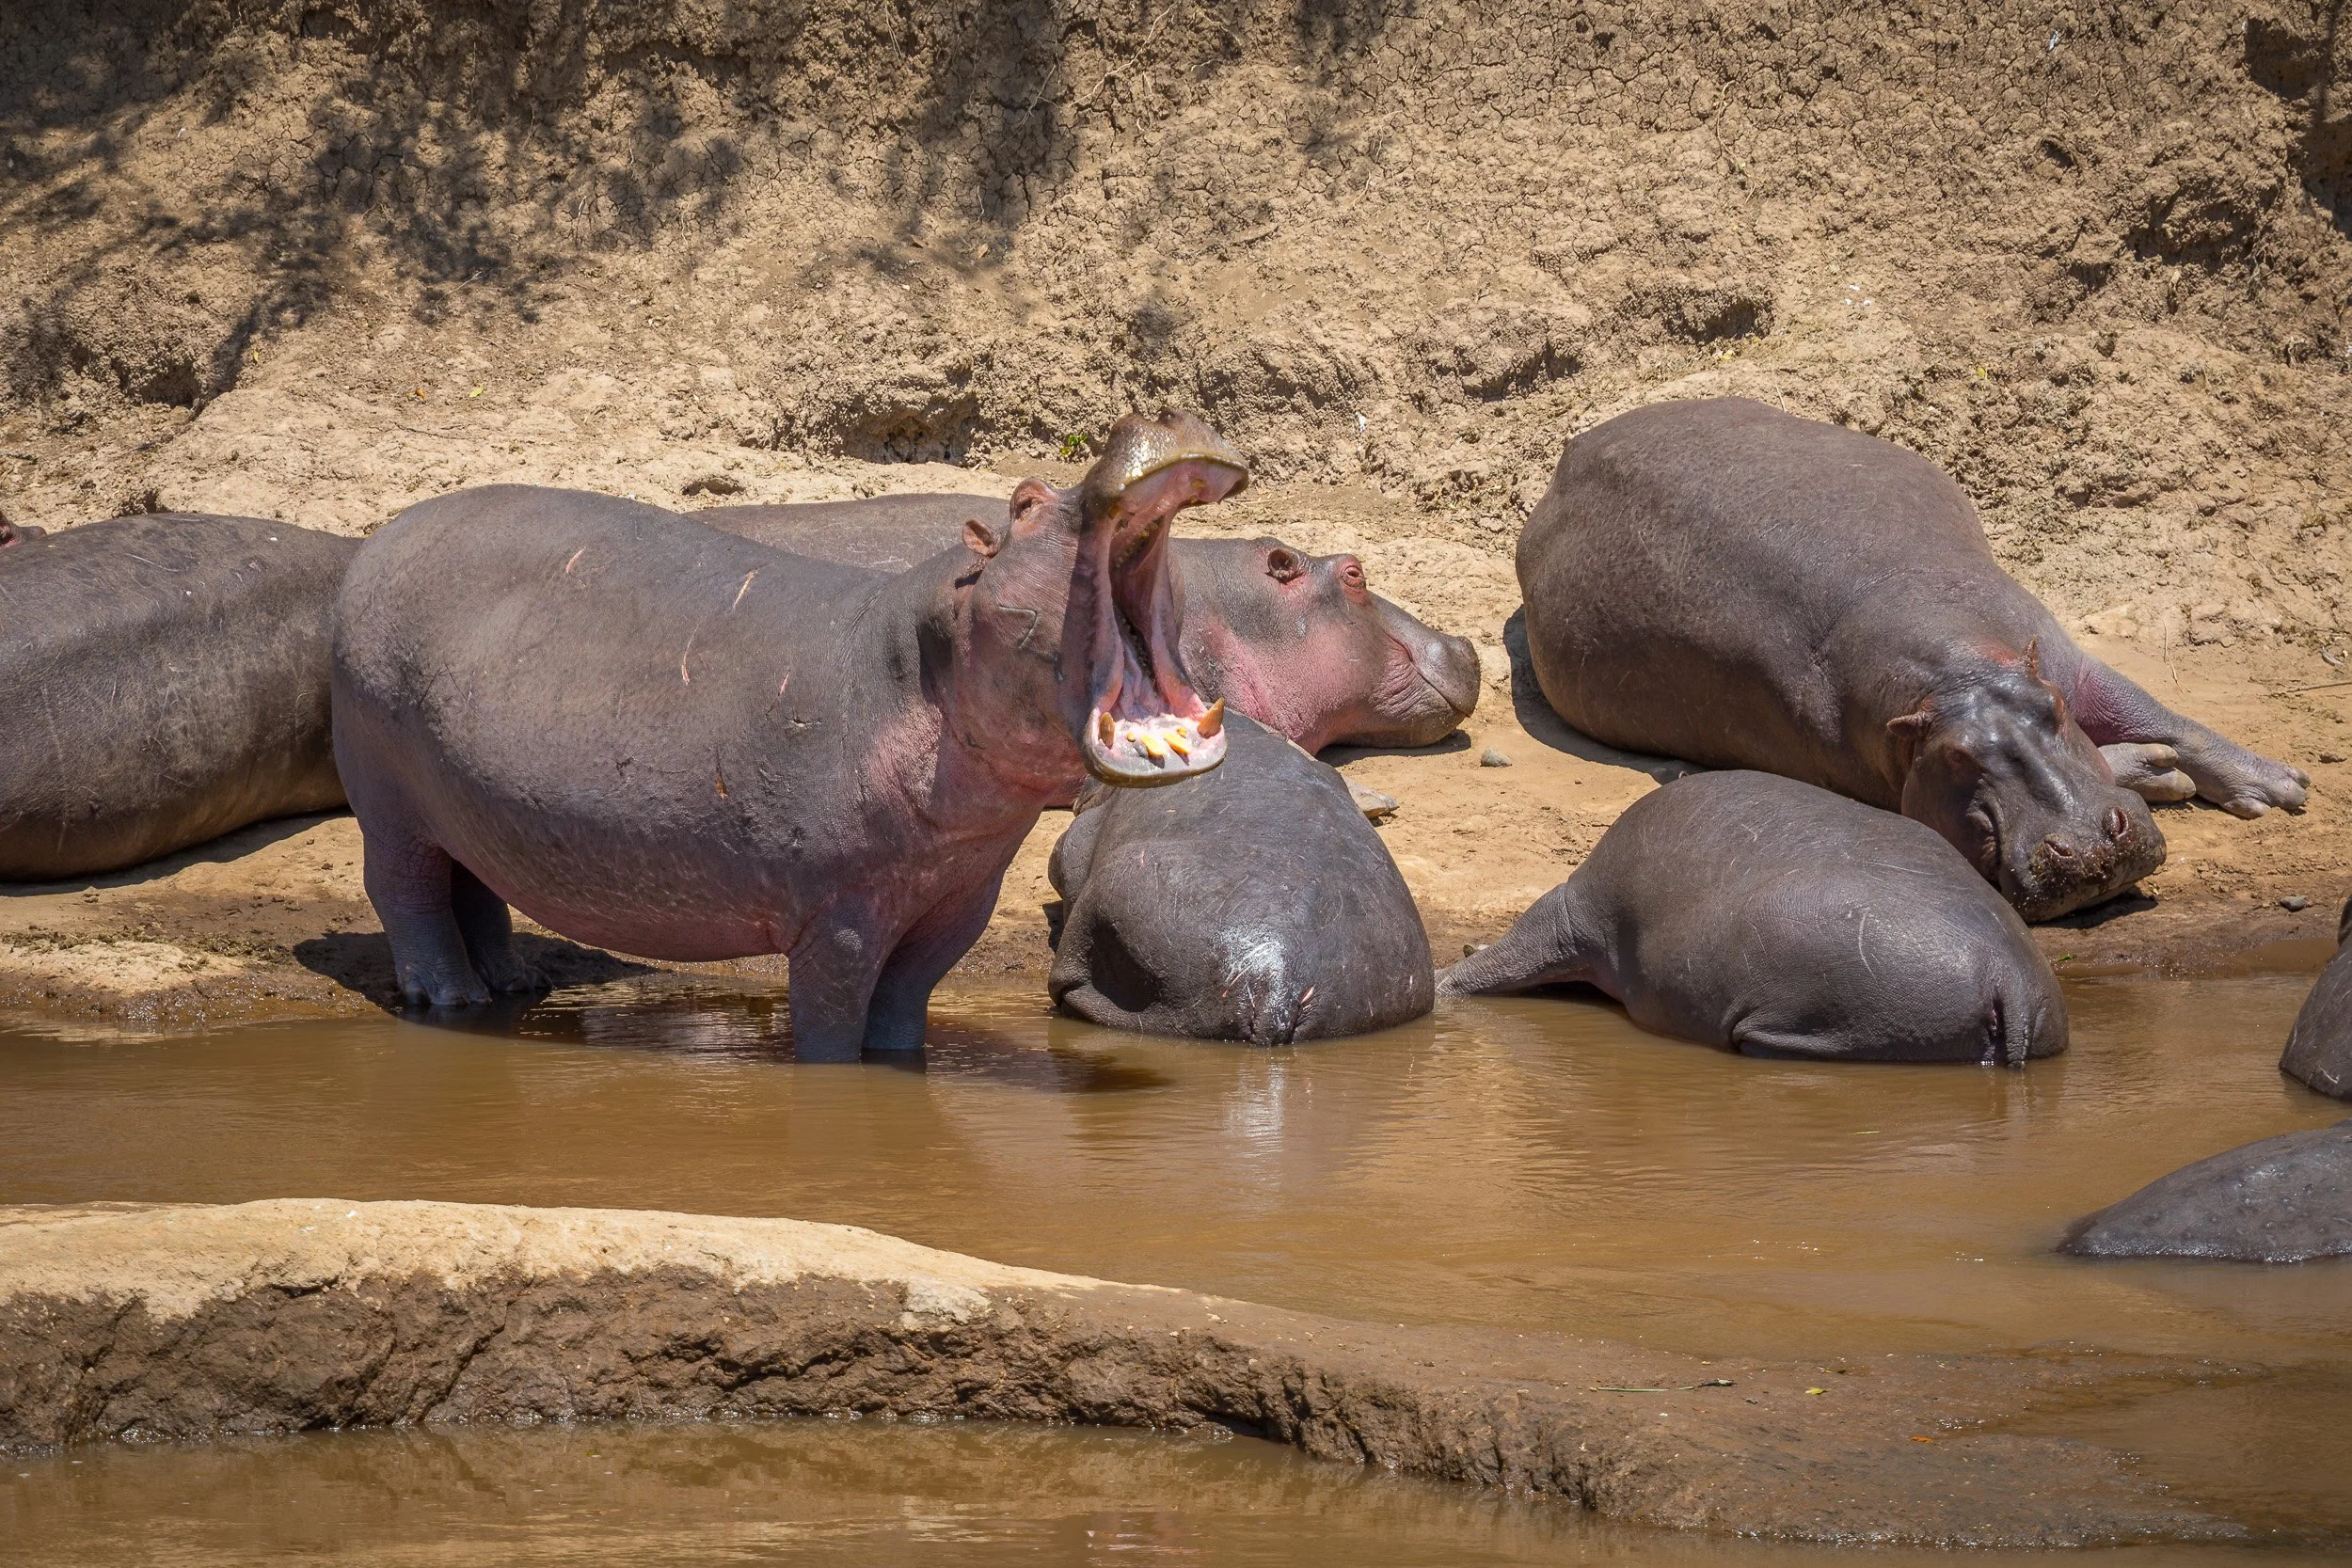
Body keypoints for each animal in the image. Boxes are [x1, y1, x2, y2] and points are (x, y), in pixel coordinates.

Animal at [332, 412, 1244, 1060]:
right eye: (1023, 503)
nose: (1161, 412)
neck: (918, 659)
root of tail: (375, 543)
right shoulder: (835, 918)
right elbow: (834, 1027)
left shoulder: (955, 904)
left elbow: (903, 1011)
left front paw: (900, 1066)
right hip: (387, 796)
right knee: (406, 893)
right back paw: (449, 1000)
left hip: (464, 796)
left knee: (473, 886)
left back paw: (513, 984)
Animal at [1519, 398, 2306, 921]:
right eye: (1955, 758)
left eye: (2051, 710)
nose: (2087, 847)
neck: (1955, 679)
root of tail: (1573, 448)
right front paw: (2164, 774)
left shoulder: (2052, 654)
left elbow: (2154, 711)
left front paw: (2280, 788)